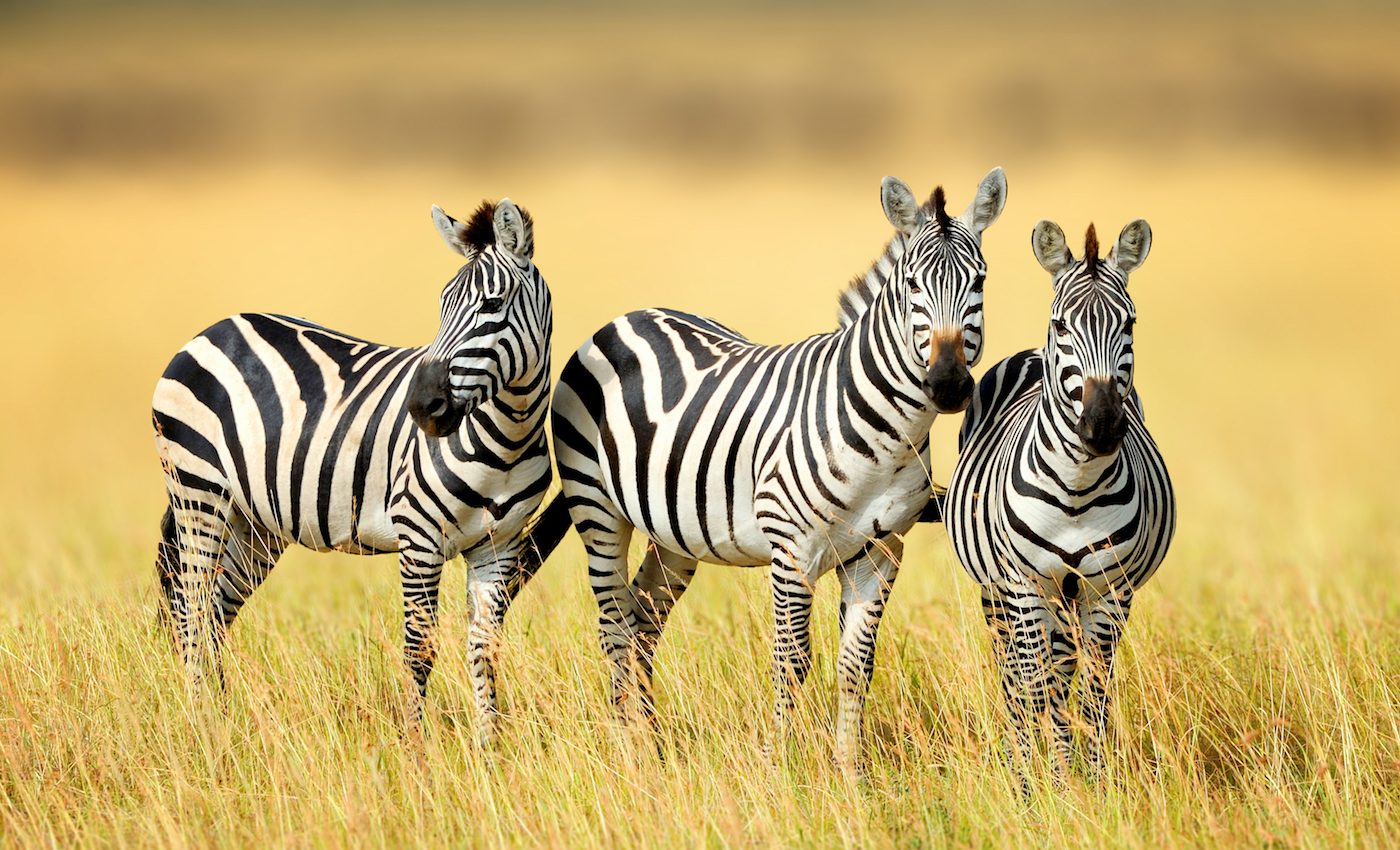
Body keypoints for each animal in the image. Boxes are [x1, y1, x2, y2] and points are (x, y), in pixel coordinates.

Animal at [152, 198, 571, 743]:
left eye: (492, 305)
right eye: (442, 305)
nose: (422, 407)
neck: (507, 439)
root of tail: (212, 329)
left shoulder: (497, 546)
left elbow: (484, 648)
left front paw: (488, 748)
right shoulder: (419, 538)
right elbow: (419, 649)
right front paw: (416, 747)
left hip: (254, 523)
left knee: (216, 613)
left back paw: (221, 722)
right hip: (199, 493)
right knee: (192, 610)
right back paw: (201, 724)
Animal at [550, 169, 1007, 767]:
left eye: (979, 282)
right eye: (911, 285)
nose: (949, 384)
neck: (886, 434)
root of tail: (628, 316)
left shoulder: (880, 554)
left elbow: (856, 667)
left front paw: (849, 772)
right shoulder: (791, 550)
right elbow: (791, 663)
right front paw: (781, 768)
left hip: (673, 532)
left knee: (644, 622)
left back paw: (651, 746)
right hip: (597, 509)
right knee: (615, 627)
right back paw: (628, 752)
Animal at [944, 219, 1175, 781]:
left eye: (1130, 324)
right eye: (1061, 325)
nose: (1103, 426)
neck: (1077, 486)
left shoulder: (1109, 592)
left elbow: (1092, 694)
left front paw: (1088, 782)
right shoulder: (1024, 586)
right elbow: (1034, 688)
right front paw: (1038, 785)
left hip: (1070, 598)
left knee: (1065, 671)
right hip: (1000, 593)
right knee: (1016, 673)